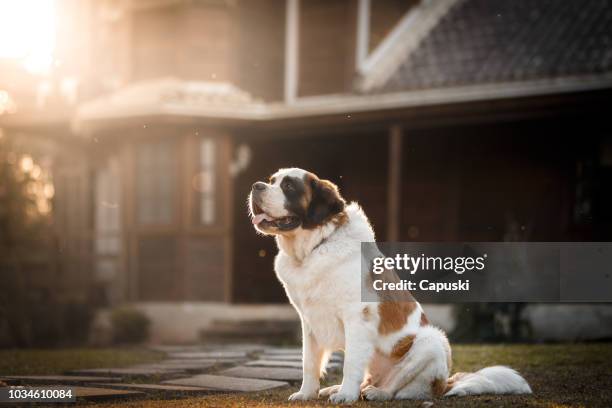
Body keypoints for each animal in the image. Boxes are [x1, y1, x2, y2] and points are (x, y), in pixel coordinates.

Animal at [249, 167, 532, 404]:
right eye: (272, 180)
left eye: (289, 186)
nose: (256, 186)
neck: (313, 249)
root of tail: (445, 384)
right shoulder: (308, 321)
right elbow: (309, 361)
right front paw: (306, 393)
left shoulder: (357, 317)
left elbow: (350, 363)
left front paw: (346, 396)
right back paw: (341, 388)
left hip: (431, 341)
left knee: (403, 389)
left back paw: (375, 392)